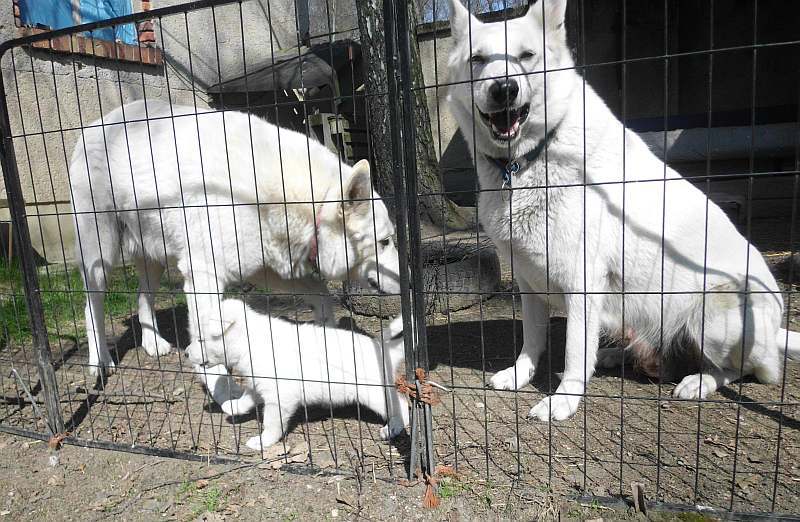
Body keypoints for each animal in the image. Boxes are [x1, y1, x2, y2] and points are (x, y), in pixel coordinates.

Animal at [186, 298, 412, 448]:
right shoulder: (261, 384)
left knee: (400, 405)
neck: (251, 342)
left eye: (200, 339)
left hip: (373, 393)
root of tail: (385, 349)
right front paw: (233, 406)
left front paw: (263, 441)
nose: (186, 353)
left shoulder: (279, 397)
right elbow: (247, 397)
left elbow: (271, 423)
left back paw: (392, 428)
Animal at [446, 0, 796, 420]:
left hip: (714, 312)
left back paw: (698, 382)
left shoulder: (582, 284)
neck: (524, 163)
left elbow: (574, 351)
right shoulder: (528, 282)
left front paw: (563, 401)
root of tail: (775, 329)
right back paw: (614, 355)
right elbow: (532, 340)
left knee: (742, 370)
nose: (504, 89)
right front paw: (518, 377)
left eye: (527, 57)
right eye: (478, 59)